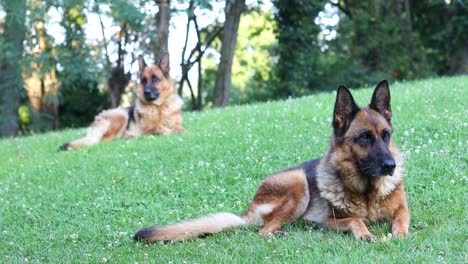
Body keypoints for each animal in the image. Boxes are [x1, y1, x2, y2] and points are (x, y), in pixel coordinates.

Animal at [133, 79, 408, 242]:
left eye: (386, 135)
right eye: (364, 137)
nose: (391, 166)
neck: (368, 192)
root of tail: (249, 210)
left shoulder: (403, 207)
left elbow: (402, 217)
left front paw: (399, 232)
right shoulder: (330, 221)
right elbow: (355, 218)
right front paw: (365, 233)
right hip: (297, 185)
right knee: (263, 230)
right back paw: (284, 233)